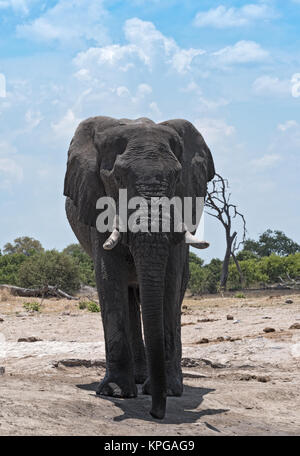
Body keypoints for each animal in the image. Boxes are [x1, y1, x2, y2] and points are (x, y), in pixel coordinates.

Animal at [63, 116, 214, 418]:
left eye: (177, 177)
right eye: (118, 178)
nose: (157, 413)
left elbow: (170, 279)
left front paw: (169, 390)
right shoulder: (97, 200)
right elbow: (109, 276)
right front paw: (115, 393)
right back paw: (137, 379)